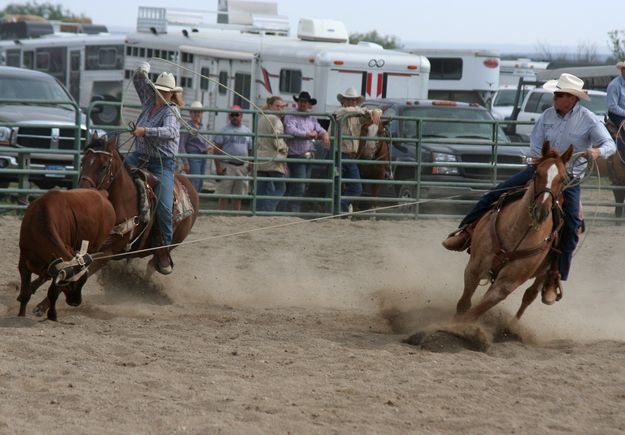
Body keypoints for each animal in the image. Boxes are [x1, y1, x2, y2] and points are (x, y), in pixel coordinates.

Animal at [31, 135, 200, 316]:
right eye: (83, 161)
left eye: (103, 166)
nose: (82, 190)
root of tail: (188, 183)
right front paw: (31, 286)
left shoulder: (108, 253)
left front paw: (42, 306)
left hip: (173, 242)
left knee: (154, 263)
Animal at [454, 141, 572, 322]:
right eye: (536, 173)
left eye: (564, 179)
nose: (541, 211)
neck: (516, 233)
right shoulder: (474, 267)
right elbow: (464, 304)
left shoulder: (506, 285)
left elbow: (474, 312)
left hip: (544, 273)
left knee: (530, 295)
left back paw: (513, 323)